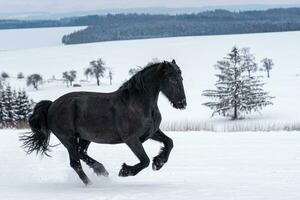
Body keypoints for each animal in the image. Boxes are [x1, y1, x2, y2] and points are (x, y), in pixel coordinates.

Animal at [20, 59, 185, 184]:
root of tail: (52, 105)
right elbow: (144, 160)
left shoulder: (152, 132)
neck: (138, 104)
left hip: (84, 137)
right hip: (68, 138)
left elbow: (169, 142)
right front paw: (125, 170)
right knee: (75, 163)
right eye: (172, 79)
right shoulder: (131, 139)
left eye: (181, 78)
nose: (182, 103)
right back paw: (92, 184)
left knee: (81, 154)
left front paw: (159, 162)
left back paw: (101, 170)